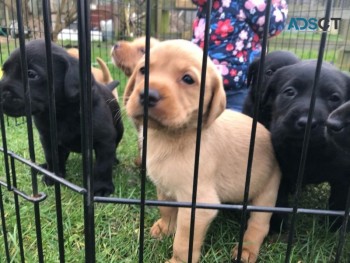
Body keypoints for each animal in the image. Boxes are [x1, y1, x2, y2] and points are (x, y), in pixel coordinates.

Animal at [0, 39, 123, 196]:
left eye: (31, 74)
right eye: (4, 71)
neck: (61, 113)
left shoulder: (104, 140)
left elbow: (102, 166)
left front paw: (102, 188)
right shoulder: (47, 138)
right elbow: (52, 158)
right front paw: (54, 177)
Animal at [124, 39, 280, 263]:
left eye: (188, 79)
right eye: (143, 70)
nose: (148, 94)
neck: (172, 136)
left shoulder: (198, 205)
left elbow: (183, 242)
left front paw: (177, 261)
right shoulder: (164, 187)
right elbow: (167, 210)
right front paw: (164, 228)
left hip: (267, 191)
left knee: (259, 225)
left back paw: (246, 250)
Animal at [258, 60, 350, 233]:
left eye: (334, 97)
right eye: (289, 92)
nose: (307, 122)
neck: (309, 151)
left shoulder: (343, 176)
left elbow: (339, 204)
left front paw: (334, 229)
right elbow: (278, 201)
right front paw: (277, 227)